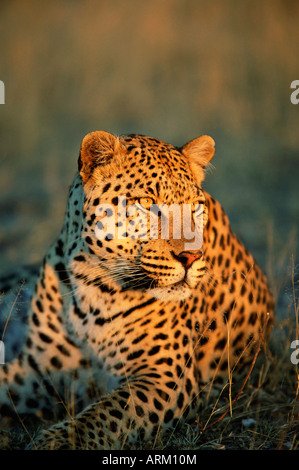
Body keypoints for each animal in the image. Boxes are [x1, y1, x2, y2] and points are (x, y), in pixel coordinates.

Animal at [0, 130, 276, 450]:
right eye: (147, 201)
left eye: (196, 205)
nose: (192, 257)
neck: (94, 284)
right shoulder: (39, 369)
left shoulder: (165, 377)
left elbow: (103, 415)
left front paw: (57, 441)